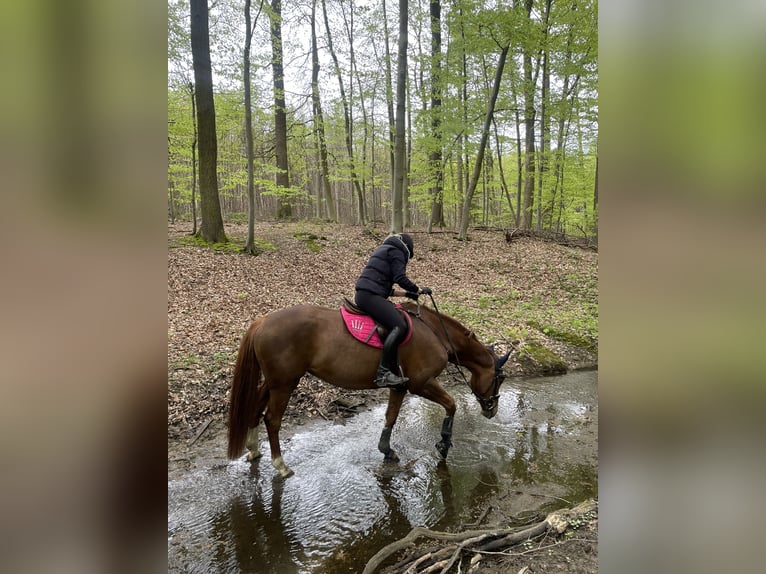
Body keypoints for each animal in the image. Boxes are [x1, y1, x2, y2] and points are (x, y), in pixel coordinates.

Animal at [226, 300, 510, 480]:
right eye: (501, 378)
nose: (492, 409)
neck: (435, 331)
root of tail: (262, 322)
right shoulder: (422, 383)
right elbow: (451, 404)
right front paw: (444, 443)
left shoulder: (401, 386)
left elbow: (391, 417)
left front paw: (387, 450)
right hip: (285, 383)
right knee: (272, 420)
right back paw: (280, 465)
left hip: (274, 381)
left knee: (255, 410)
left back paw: (254, 449)